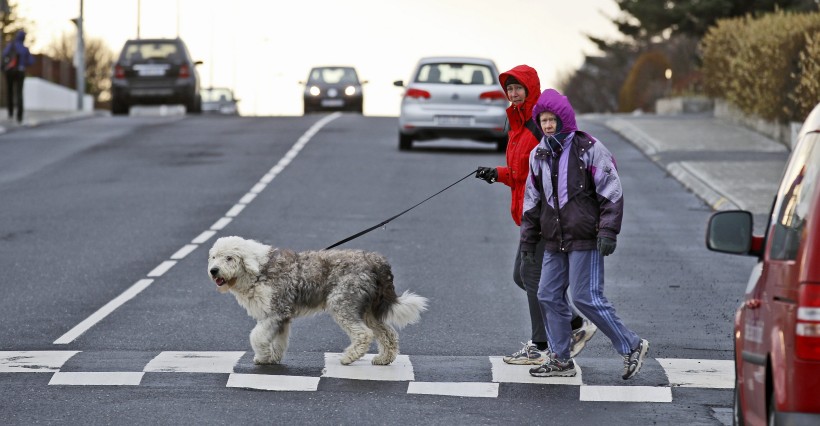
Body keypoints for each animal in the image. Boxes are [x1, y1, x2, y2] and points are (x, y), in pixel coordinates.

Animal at [207, 236, 430, 366]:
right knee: (388, 333)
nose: (213, 271)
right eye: (213, 257)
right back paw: (384, 359)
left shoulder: (275, 312)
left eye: (229, 258)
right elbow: (278, 340)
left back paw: (348, 358)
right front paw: (273, 358)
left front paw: (262, 358)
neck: (259, 270)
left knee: (364, 334)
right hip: (367, 309)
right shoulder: (282, 317)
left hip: (342, 303)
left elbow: (257, 337)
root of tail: (377, 262)